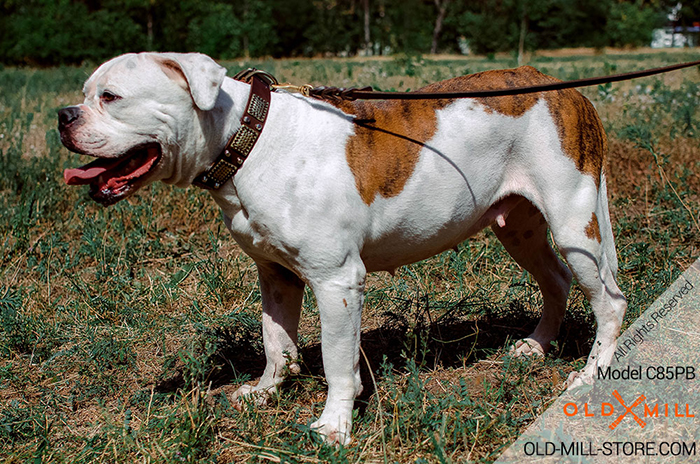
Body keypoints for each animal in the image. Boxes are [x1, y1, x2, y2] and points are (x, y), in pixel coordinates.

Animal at [58, 51, 628, 446]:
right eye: (84, 93)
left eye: (110, 97)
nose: (64, 114)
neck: (246, 137)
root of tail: (567, 93)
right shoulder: (275, 275)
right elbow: (276, 341)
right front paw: (267, 391)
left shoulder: (335, 281)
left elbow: (337, 361)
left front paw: (334, 426)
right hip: (520, 228)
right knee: (556, 279)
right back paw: (536, 345)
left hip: (574, 222)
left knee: (610, 301)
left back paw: (591, 373)